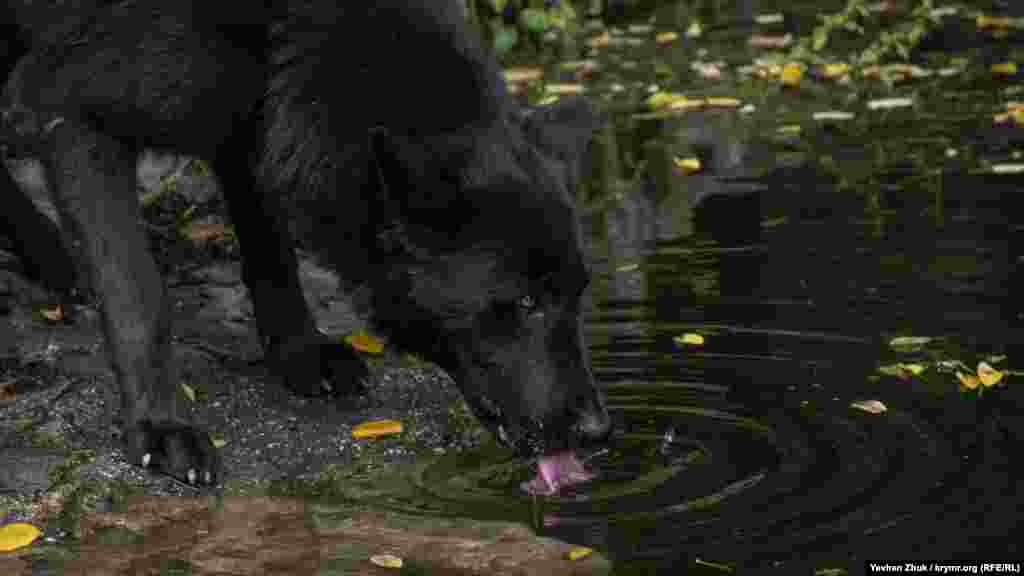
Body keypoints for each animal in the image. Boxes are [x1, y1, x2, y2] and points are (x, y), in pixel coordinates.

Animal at [2, 0, 606, 485]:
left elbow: (271, 248)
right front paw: (161, 426)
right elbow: (138, 298)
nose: (599, 432)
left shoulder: (255, 119)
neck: (291, 27)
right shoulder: (77, 115)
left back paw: (47, 256)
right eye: (525, 302)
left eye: (577, 296)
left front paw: (299, 351)